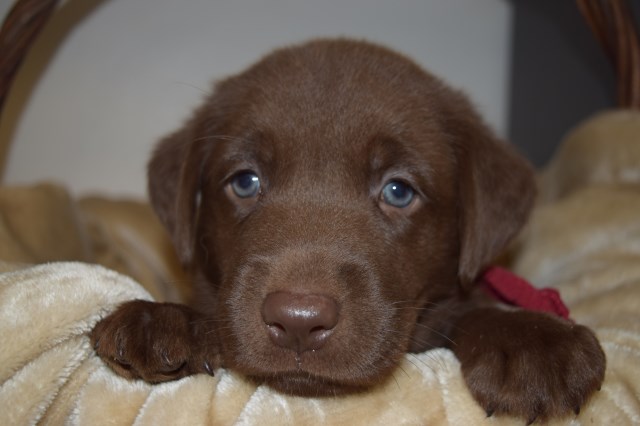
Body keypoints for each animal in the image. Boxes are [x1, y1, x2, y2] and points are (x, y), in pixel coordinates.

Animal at [91, 39, 604, 422]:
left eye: (398, 190)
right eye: (245, 182)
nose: (298, 320)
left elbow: (469, 309)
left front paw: (533, 342)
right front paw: (163, 321)